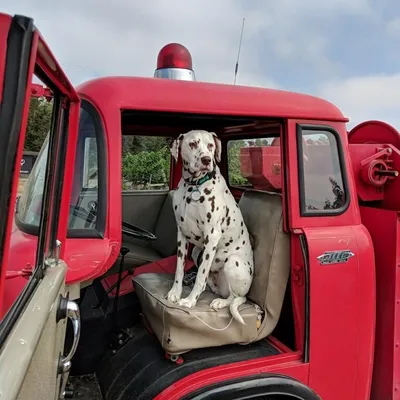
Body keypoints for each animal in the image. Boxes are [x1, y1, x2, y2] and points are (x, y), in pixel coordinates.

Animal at [166, 130, 253, 324]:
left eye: (211, 145)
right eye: (192, 144)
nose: (206, 159)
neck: (193, 186)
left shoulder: (211, 236)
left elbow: (201, 275)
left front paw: (190, 300)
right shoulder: (181, 234)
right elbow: (179, 269)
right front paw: (175, 293)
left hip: (233, 263)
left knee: (236, 297)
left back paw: (221, 302)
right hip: (196, 251)